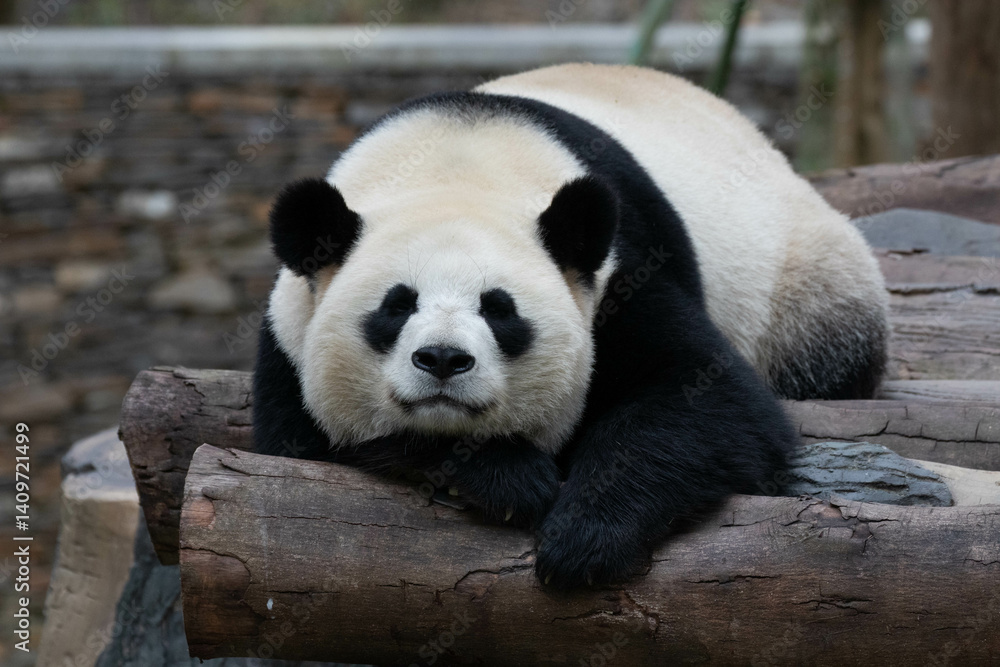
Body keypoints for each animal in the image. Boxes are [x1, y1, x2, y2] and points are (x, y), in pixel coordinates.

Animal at [253, 63, 888, 589]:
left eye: (499, 309)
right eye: (397, 305)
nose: (443, 360)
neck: (458, 160)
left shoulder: (620, 271)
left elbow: (709, 399)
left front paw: (583, 542)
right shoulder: (290, 335)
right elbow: (309, 447)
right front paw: (504, 477)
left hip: (804, 283)